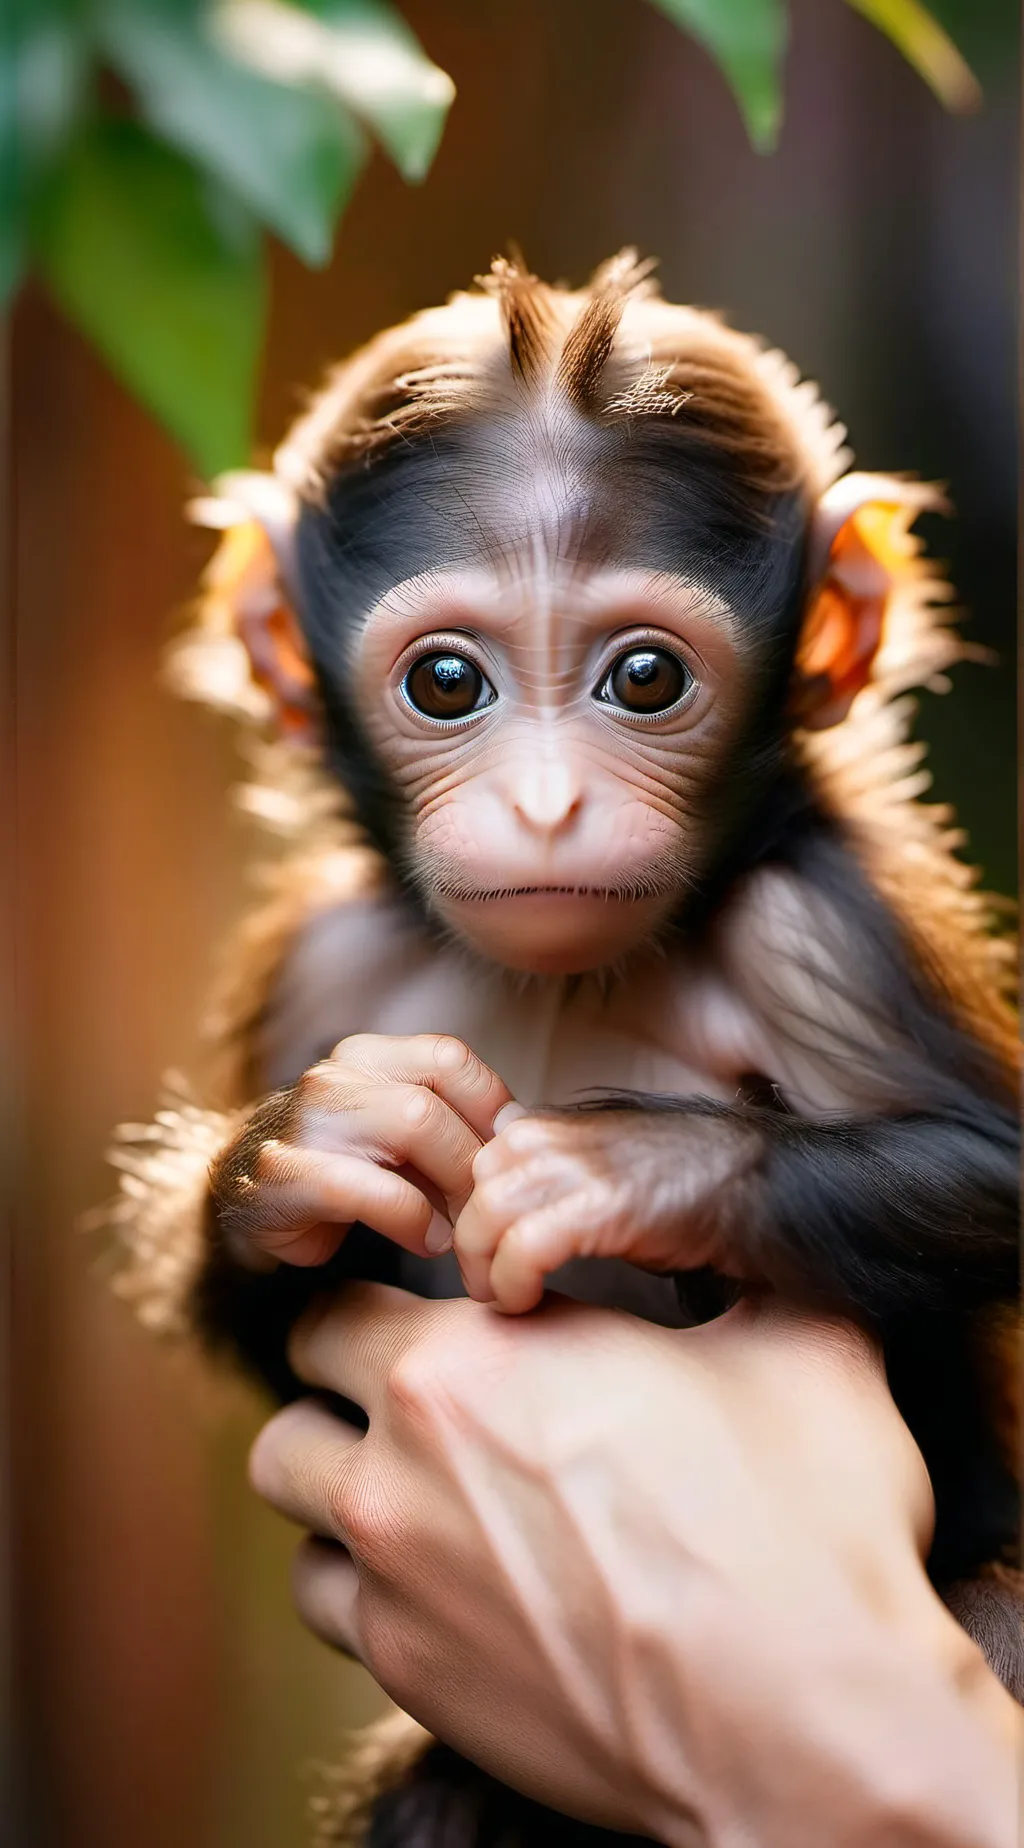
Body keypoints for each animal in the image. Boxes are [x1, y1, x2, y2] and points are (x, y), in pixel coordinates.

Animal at [101, 254, 1021, 1848]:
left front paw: (626, 1172)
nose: (541, 808)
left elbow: (997, 1172)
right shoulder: (319, 961)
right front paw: (294, 1158)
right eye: (446, 684)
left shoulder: (818, 924)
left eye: (644, 678)